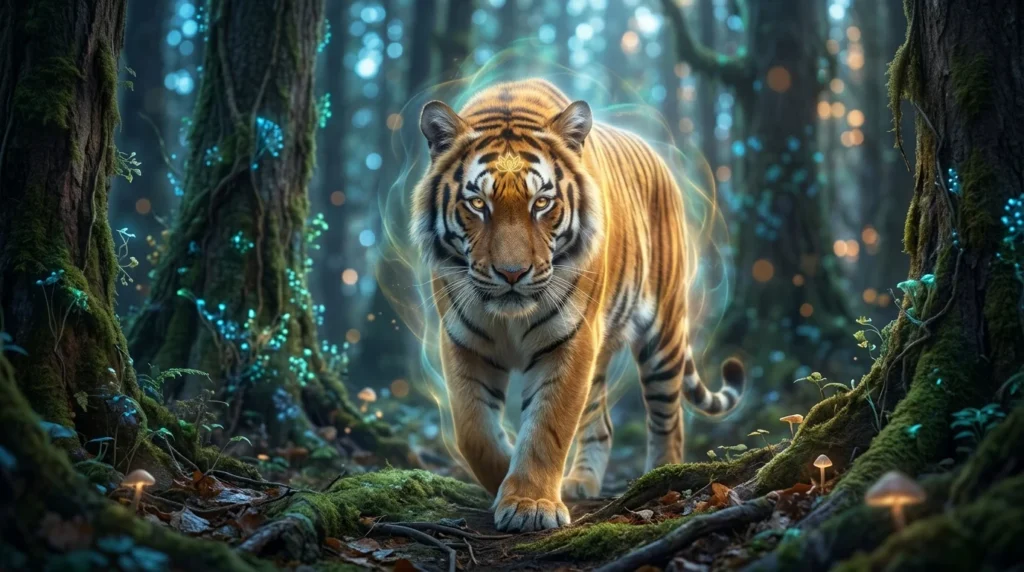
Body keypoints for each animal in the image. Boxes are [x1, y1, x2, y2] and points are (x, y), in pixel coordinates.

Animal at [411, 79, 745, 532]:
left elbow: (547, 427)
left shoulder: (571, 339)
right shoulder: (465, 340)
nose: (512, 273)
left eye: (541, 203)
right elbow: (473, 430)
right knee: (600, 423)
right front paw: (505, 478)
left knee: (668, 419)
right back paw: (580, 482)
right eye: (478, 204)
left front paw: (529, 503)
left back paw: (663, 476)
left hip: (663, 335)